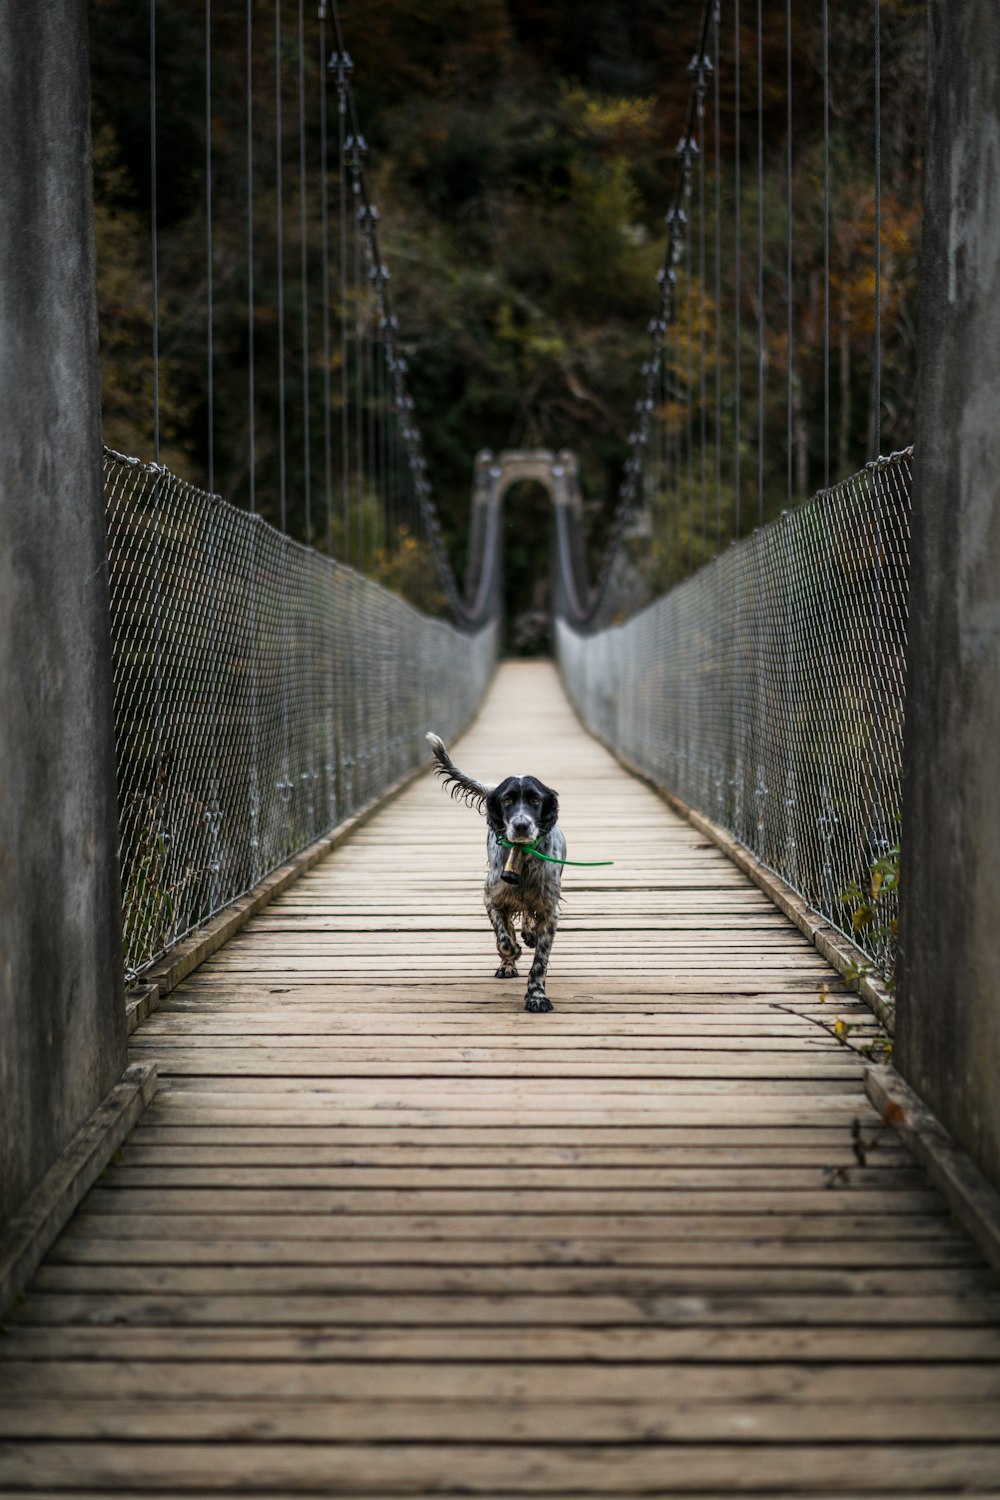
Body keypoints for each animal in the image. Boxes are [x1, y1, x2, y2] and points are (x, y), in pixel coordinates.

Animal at [422, 735, 563, 1014]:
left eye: (535, 800)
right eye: (507, 800)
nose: (521, 825)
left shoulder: (549, 910)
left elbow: (540, 960)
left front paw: (537, 996)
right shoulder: (493, 899)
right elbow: (504, 939)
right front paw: (512, 955)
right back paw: (508, 965)